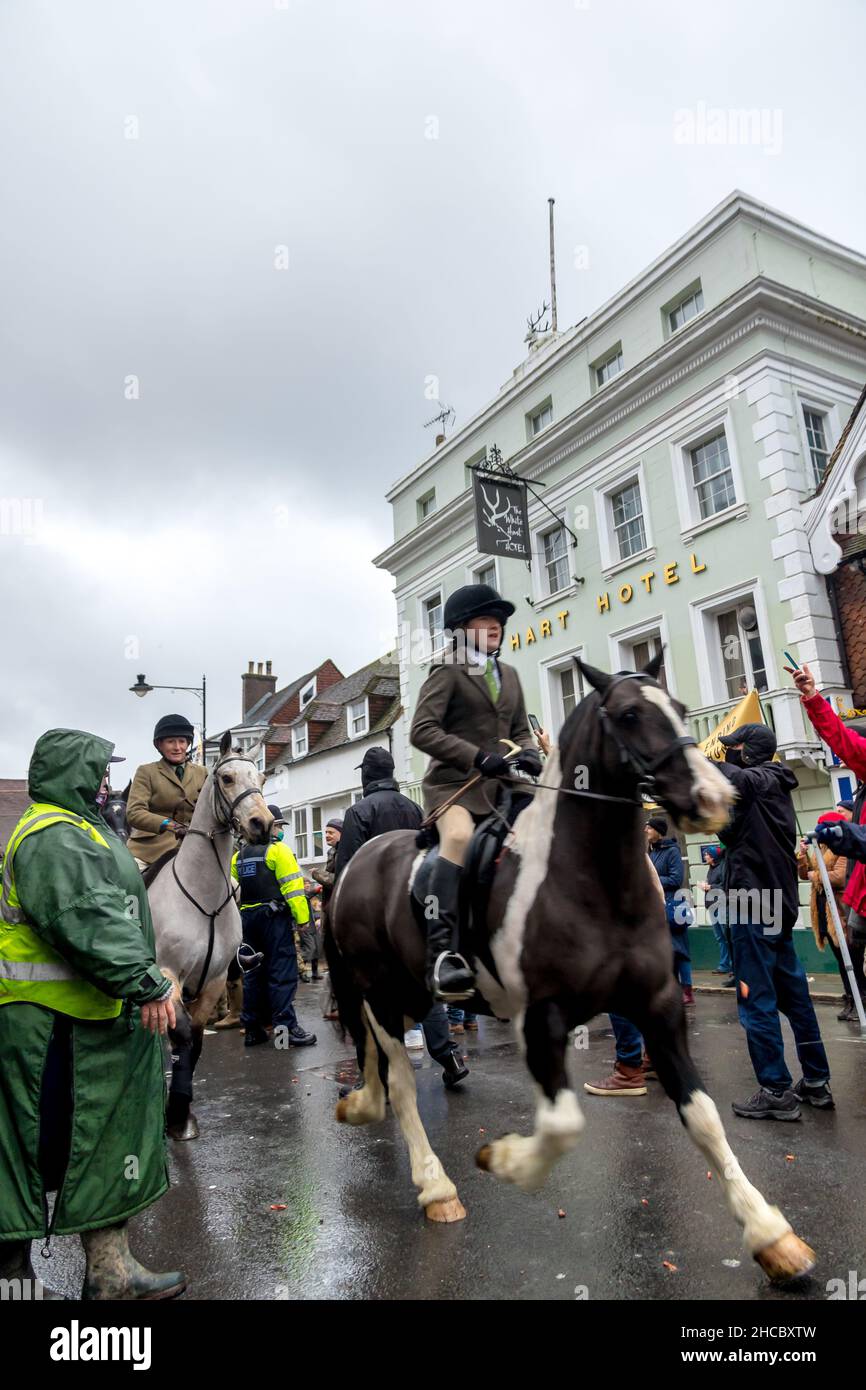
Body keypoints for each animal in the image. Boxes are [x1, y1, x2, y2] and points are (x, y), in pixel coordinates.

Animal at [147, 728, 272, 1139]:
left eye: (261, 777)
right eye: (226, 778)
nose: (262, 824)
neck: (203, 894)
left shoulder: (215, 978)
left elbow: (196, 1041)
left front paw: (181, 1112)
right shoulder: (167, 974)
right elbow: (182, 1035)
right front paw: (175, 1116)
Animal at [326, 656, 817, 1284]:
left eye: (680, 709)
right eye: (628, 715)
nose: (712, 797)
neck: (592, 877)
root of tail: (354, 863)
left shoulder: (658, 1005)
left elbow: (704, 1116)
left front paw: (770, 1233)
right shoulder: (542, 1016)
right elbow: (562, 1125)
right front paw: (504, 1160)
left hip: (402, 993)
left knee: (377, 1058)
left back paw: (362, 1105)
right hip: (383, 990)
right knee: (403, 1084)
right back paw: (435, 1186)